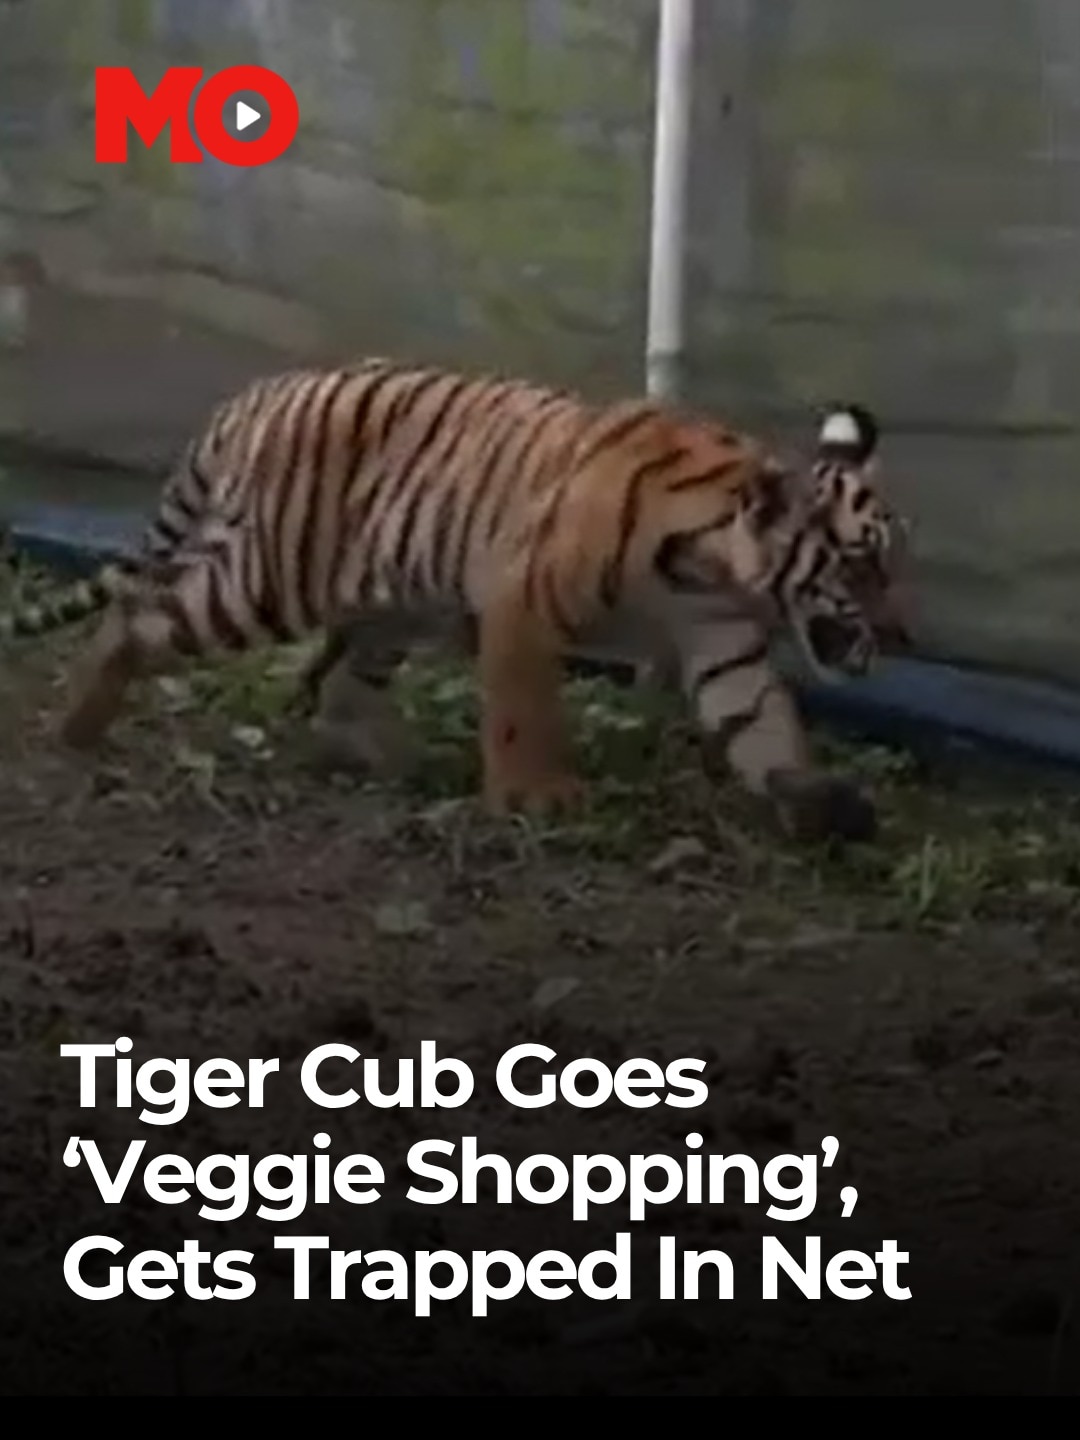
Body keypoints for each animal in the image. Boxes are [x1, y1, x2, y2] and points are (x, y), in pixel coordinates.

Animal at [0, 358, 911, 842]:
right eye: (862, 566)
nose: (902, 636)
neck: (714, 569)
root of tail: (258, 392)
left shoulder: (721, 643)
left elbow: (764, 725)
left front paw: (818, 800)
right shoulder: (523, 603)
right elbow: (521, 709)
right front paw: (535, 797)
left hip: (386, 604)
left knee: (340, 685)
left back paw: (377, 761)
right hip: (263, 582)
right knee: (136, 614)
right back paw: (77, 729)